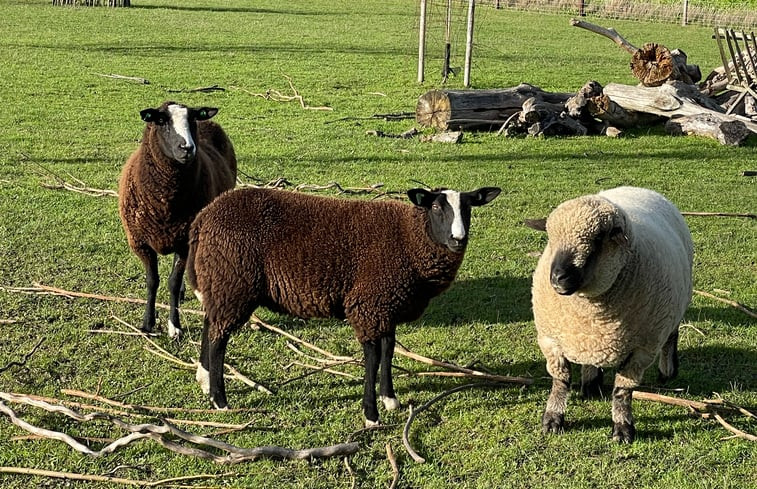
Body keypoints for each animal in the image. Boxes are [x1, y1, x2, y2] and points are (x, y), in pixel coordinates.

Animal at [118, 102, 235, 340]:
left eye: (192, 120)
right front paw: (147, 324)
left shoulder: (184, 242)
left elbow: (172, 282)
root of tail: (209, 122)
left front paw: (175, 326)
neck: (166, 204)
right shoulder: (141, 243)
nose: (187, 148)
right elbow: (152, 281)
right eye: (161, 121)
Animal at [185, 185, 500, 426]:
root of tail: (204, 216)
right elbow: (372, 357)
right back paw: (219, 399)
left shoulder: (386, 306)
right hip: (233, 283)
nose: (458, 239)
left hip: (219, 283)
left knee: (210, 323)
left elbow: (388, 349)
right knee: (219, 338)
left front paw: (390, 399)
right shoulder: (368, 305)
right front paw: (371, 414)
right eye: (435, 207)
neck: (409, 239)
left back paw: (204, 378)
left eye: (469, 208)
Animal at [524, 186, 692, 442]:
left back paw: (667, 372)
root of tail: (637, 188)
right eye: (550, 239)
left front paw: (622, 428)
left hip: (673, 309)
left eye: (597, 240)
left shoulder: (642, 350)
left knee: (672, 336)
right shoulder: (550, 340)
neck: (591, 310)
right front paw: (552, 419)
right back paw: (591, 384)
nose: (558, 278)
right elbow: (560, 381)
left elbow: (623, 389)